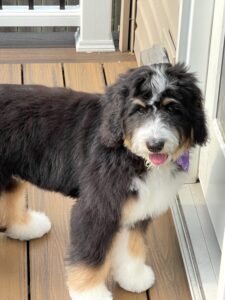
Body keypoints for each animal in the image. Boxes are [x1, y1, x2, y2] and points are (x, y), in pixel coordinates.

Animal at [0, 62, 207, 298]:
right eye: (139, 109)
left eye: (173, 108)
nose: (155, 145)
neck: (131, 155)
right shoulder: (98, 208)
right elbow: (91, 259)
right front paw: (90, 293)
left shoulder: (135, 208)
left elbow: (131, 245)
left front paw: (133, 277)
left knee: (10, 197)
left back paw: (24, 227)